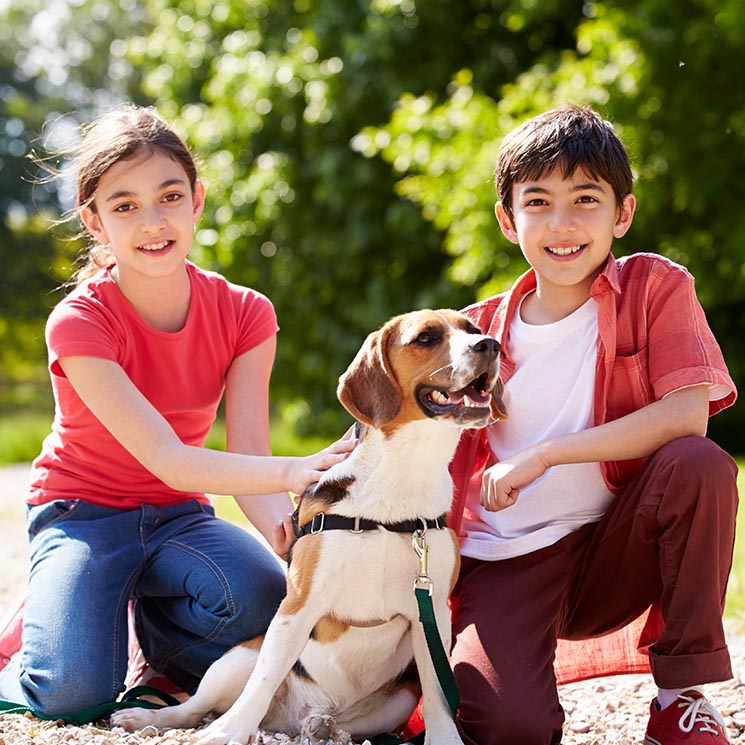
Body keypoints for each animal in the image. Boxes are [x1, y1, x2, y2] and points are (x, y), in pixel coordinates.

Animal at [112, 308, 506, 744]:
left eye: (473, 330)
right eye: (426, 338)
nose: (490, 345)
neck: (402, 476)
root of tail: (286, 719)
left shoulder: (431, 614)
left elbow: (437, 692)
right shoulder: (298, 606)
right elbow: (262, 682)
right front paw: (225, 735)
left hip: (398, 701)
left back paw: (321, 724)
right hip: (239, 657)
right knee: (199, 706)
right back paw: (147, 719)